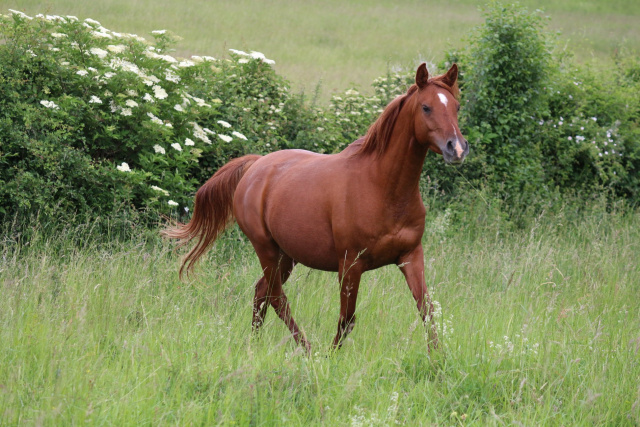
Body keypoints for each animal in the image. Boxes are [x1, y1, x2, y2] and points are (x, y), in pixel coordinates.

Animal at [162, 62, 468, 352]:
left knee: (261, 293)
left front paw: (438, 360)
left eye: (456, 106)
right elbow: (347, 319)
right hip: (266, 250)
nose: (457, 149)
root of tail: (255, 166)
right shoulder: (350, 265)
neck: (382, 187)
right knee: (276, 298)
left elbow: (427, 310)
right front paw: (330, 358)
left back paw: (255, 345)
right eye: (426, 107)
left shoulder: (411, 256)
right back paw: (307, 350)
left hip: (286, 255)